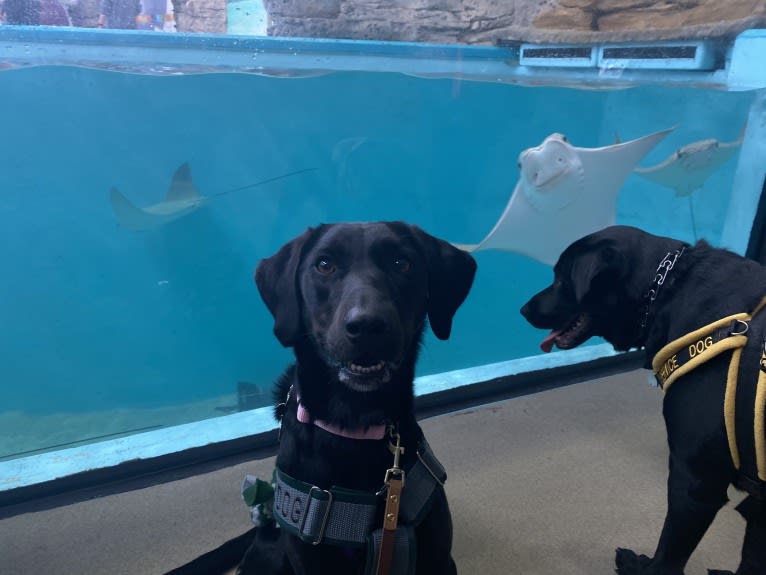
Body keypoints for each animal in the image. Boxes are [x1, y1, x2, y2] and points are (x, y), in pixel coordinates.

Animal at [520, 226, 766, 575]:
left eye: (561, 278)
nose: (524, 309)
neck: (666, 288)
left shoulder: (694, 483)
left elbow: (667, 557)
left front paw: (641, 566)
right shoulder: (761, 502)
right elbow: (753, 556)